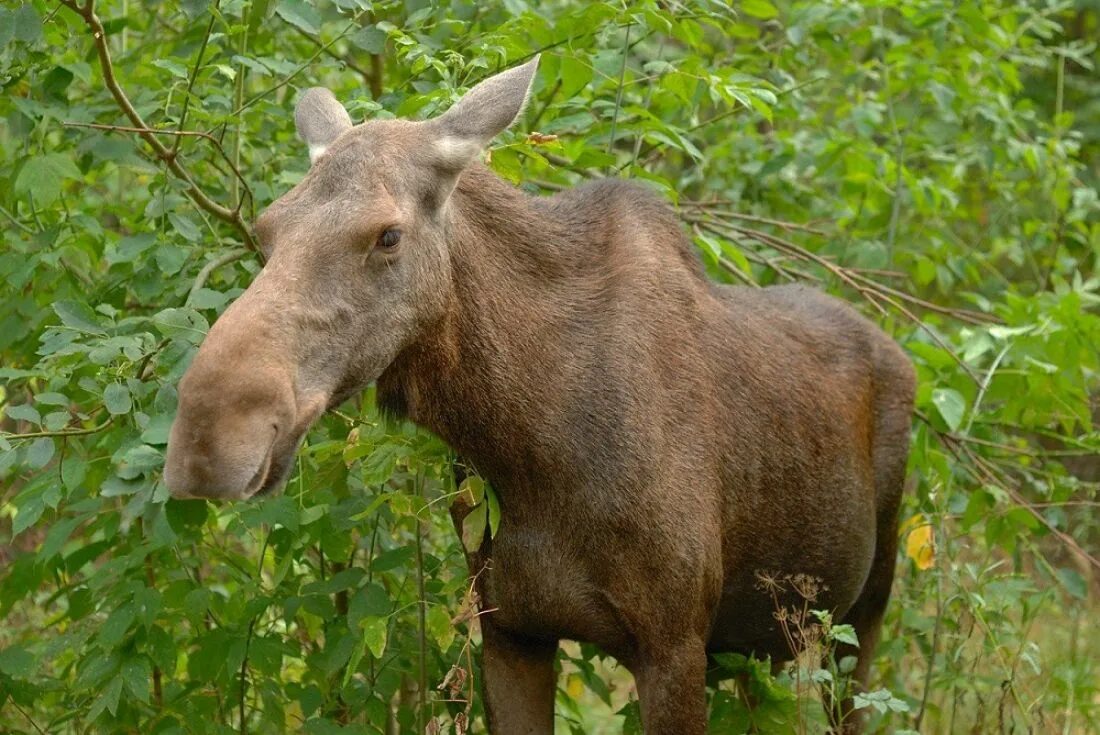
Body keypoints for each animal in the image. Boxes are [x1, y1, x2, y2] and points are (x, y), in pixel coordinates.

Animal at [162, 57, 915, 735]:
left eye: (388, 234)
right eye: (267, 230)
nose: (208, 440)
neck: (526, 445)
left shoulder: (672, 642)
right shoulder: (511, 631)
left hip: (861, 617)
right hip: (762, 639)